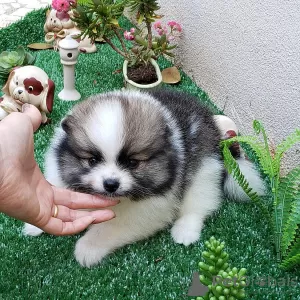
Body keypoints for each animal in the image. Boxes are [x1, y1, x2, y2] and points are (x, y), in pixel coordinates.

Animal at [24, 89, 264, 268]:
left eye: (132, 163)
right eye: (92, 160)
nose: (111, 184)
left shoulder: (146, 211)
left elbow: (109, 228)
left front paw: (88, 247)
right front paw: (38, 220)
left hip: (205, 168)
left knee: (200, 202)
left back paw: (185, 231)